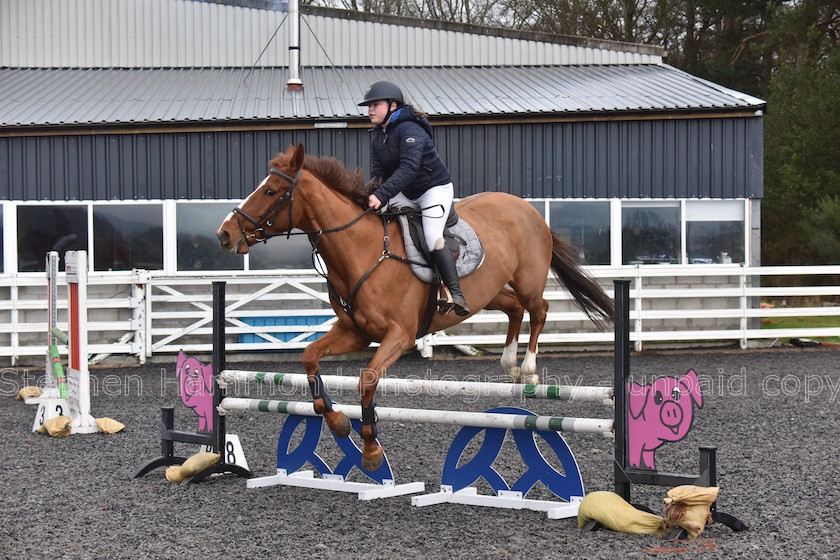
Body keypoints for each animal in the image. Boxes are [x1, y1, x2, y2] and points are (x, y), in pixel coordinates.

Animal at [217, 144, 612, 472]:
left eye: (270, 191)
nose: (225, 234)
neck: (360, 250)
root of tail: (528, 208)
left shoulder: (400, 335)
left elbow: (367, 380)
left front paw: (371, 449)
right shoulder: (354, 333)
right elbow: (310, 358)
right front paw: (338, 421)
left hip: (528, 280)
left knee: (538, 308)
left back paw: (527, 369)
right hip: (488, 293)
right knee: (514, 309)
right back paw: (508, 364)